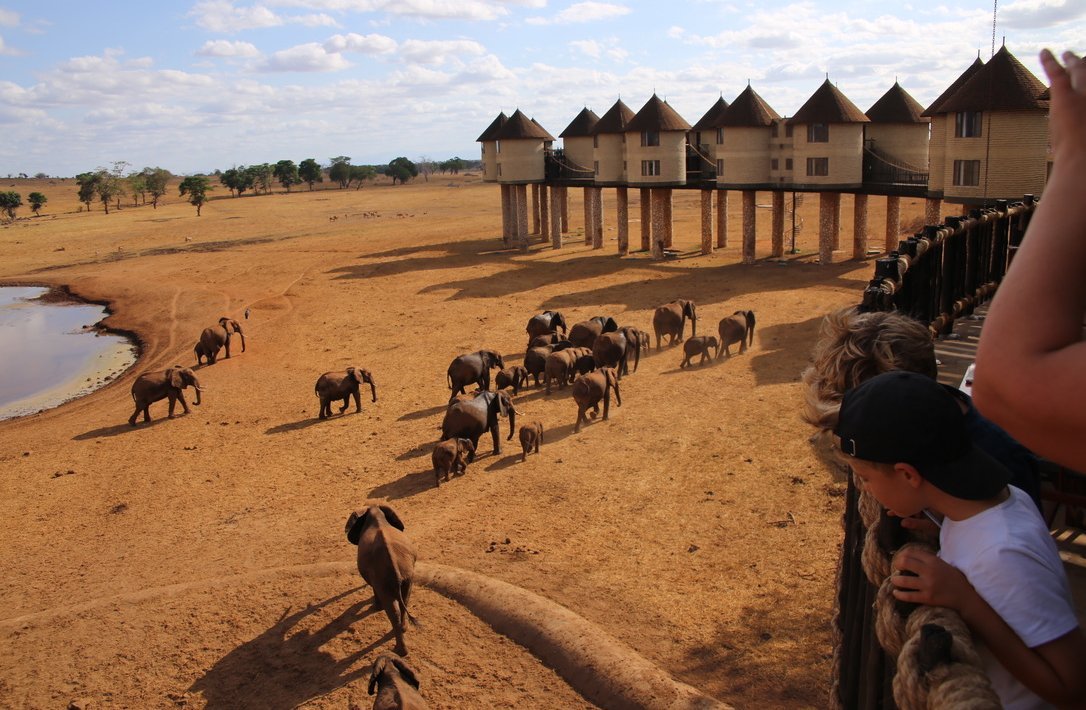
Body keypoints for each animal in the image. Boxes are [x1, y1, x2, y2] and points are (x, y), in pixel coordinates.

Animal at [345, 508, 417, 660]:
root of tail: (394, 566)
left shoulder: (374, 577)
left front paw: (375, 607)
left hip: (384, 578)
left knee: (393, 611)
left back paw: (399, 651)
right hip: (407, 575)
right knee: (405, 600)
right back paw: (404, 630)